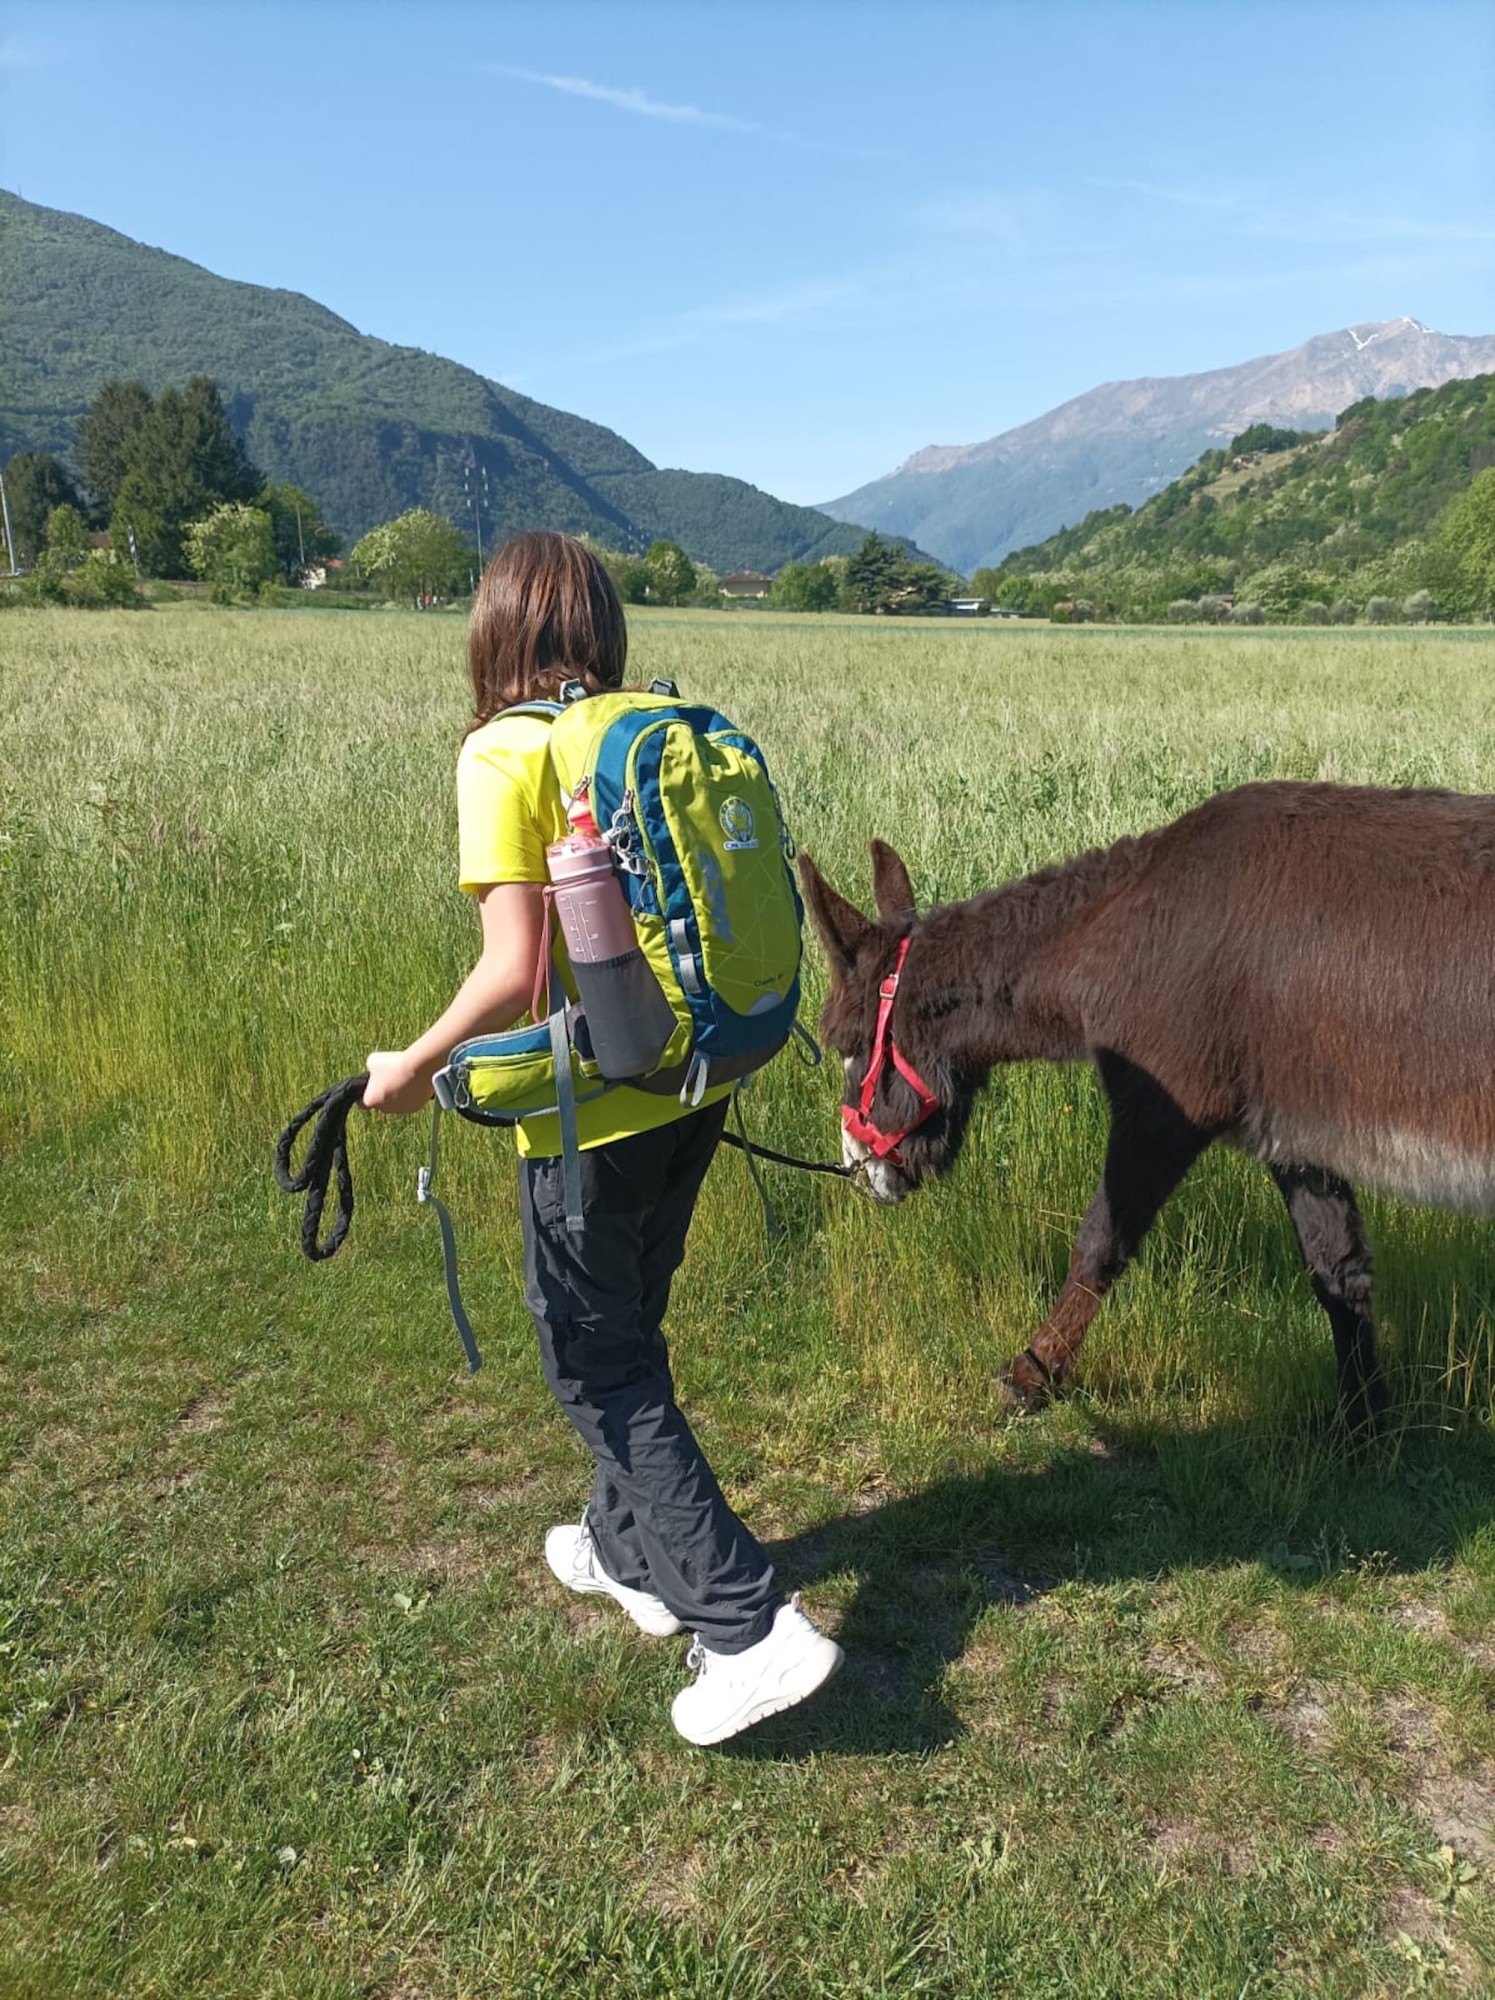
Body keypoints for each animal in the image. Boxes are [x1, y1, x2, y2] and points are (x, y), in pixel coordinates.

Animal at [798, 781, 1495, 1432]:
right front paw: (1365, 1422)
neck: (1112, 928)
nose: (857, 1166)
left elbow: (1100, 1242)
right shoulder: (1299, 1135)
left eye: (848, 1046)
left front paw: (1031, 1374)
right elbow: (1338, 1271)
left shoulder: (1164, 1110)